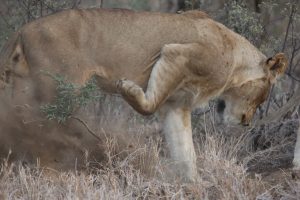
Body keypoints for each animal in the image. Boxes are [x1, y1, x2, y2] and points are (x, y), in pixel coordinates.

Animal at [0, 9, 288, 181]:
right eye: (263, 97)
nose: (247, 123)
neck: (236, 62)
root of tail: (22, 30)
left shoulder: (177, 105)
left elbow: (186, 152)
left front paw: (193, 185)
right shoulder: (175, 54)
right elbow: (149, 106)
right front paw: (125, 87)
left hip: (24, 86)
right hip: (55, 90)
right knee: (37, 127)